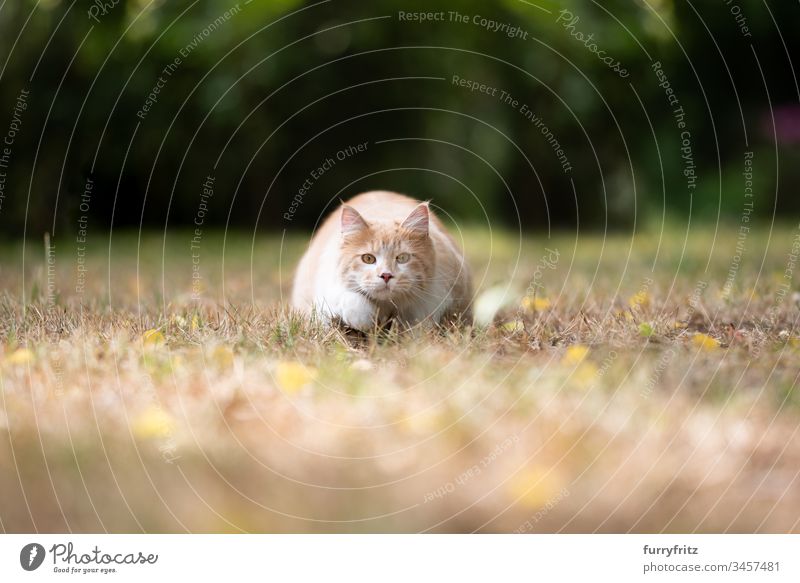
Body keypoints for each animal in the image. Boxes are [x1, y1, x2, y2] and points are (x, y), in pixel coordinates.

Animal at [290, 189, 472, 330]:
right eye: (368, 258)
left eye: (402, 258)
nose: (386, 275)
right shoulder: (326, 288)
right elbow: (351, 301)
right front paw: (365, 322)